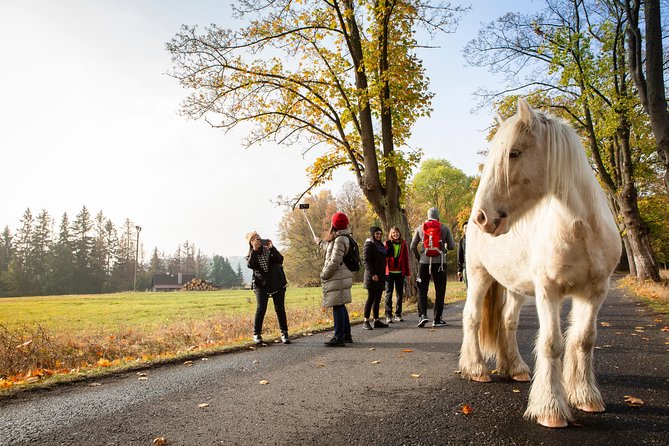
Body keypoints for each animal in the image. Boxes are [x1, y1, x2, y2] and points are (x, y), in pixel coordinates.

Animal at [460, 98, 620, 428]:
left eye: (514, 153)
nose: (483, 216)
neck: (581, 227)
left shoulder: (595, 292)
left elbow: (583, 340)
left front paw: (585, 396)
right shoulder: (549, 291)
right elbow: (551, 343)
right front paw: (551, 409)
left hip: (515, 287)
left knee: (508, 321)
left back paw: (516, 368)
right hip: (479, 277)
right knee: (472, 317)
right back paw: (477, 369)